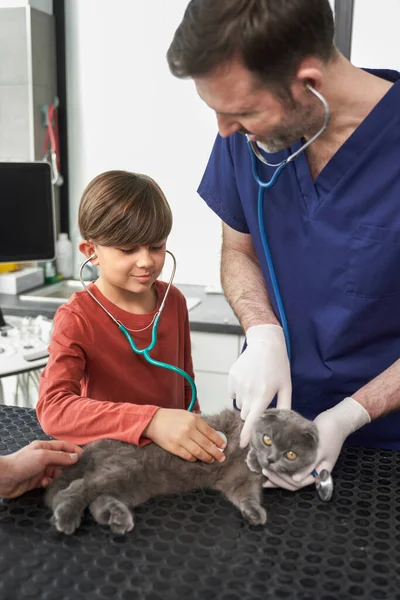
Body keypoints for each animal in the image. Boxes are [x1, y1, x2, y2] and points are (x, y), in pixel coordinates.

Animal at [44, 408, 318, 536]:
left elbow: (245, 495)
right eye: (267, 439)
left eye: (290, 454)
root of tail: (93, 446)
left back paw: (117, 516)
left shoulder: (240, 480)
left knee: (98, 498)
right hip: (124, 468)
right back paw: (66, 516)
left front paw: (253, 513)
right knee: (76, 489)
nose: (270, 460)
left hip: (134, 483)